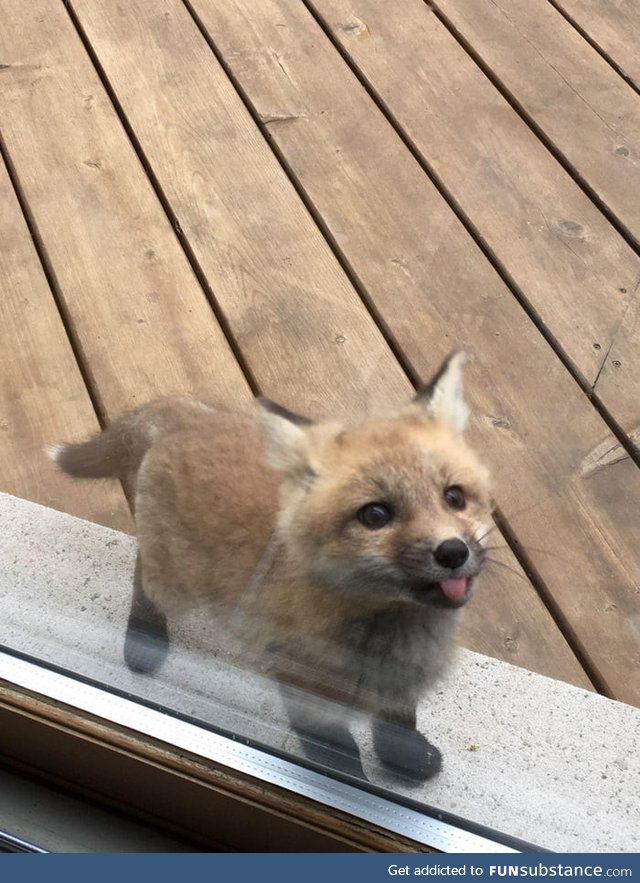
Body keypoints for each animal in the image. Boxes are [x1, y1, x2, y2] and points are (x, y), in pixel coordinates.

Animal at [50, 352, 490, 780]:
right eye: (376, 515)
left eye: (454, 497)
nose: (453, 552)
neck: (391, 635)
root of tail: (188, 416)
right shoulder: (304, 688)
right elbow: (341, 757)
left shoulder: (402, 683)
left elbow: (398, 721)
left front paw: (405, 757)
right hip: (175, 585)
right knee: (144, 579)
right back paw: (145, 639)